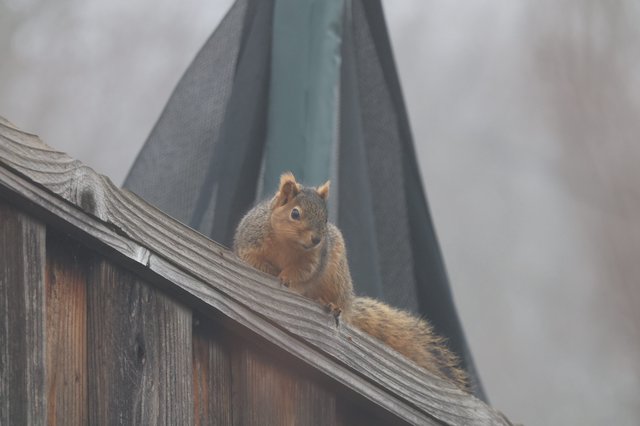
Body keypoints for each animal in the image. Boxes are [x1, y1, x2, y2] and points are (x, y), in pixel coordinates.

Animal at [233, 172, 468, 390]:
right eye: (295, 213)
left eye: (326, 219)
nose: (316, 239)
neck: (287, 243)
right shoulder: (250, 239)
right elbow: (250, 258)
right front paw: (266, 269)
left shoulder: (315, 258)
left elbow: (303, 273)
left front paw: (286, 277)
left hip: (336, 279)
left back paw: (330, 305)